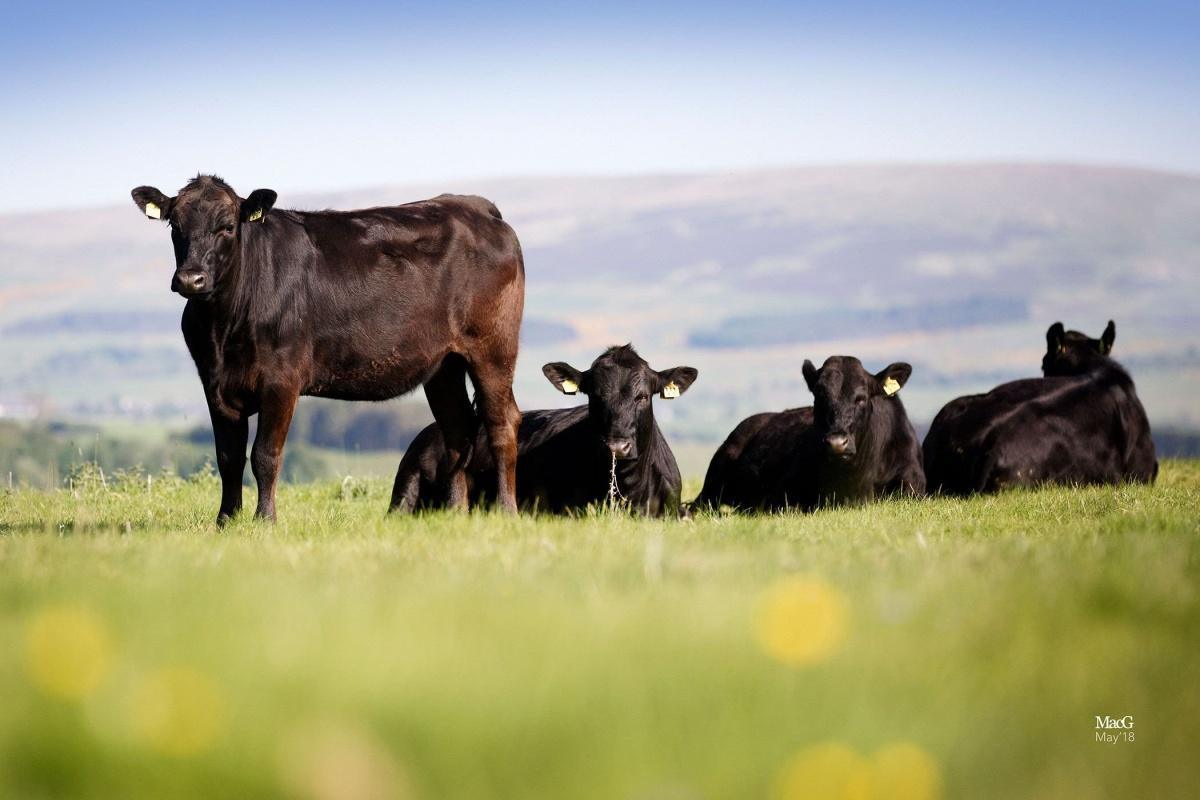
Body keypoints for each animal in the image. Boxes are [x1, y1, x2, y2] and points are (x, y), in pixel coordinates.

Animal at [132, 176, 525, 522]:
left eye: (227, 226)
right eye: (174, 225)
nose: (190, 279)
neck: (223, 325)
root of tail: (475, 206)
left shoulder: (281, 381)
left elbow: (265, 456)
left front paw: (265, 520)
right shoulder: (216, 384)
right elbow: (228, 458)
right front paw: (225, 521)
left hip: (493, 349)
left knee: (501, 424)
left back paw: (506, 512)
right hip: (444, 364)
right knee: (457, 430)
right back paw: (455, 514)